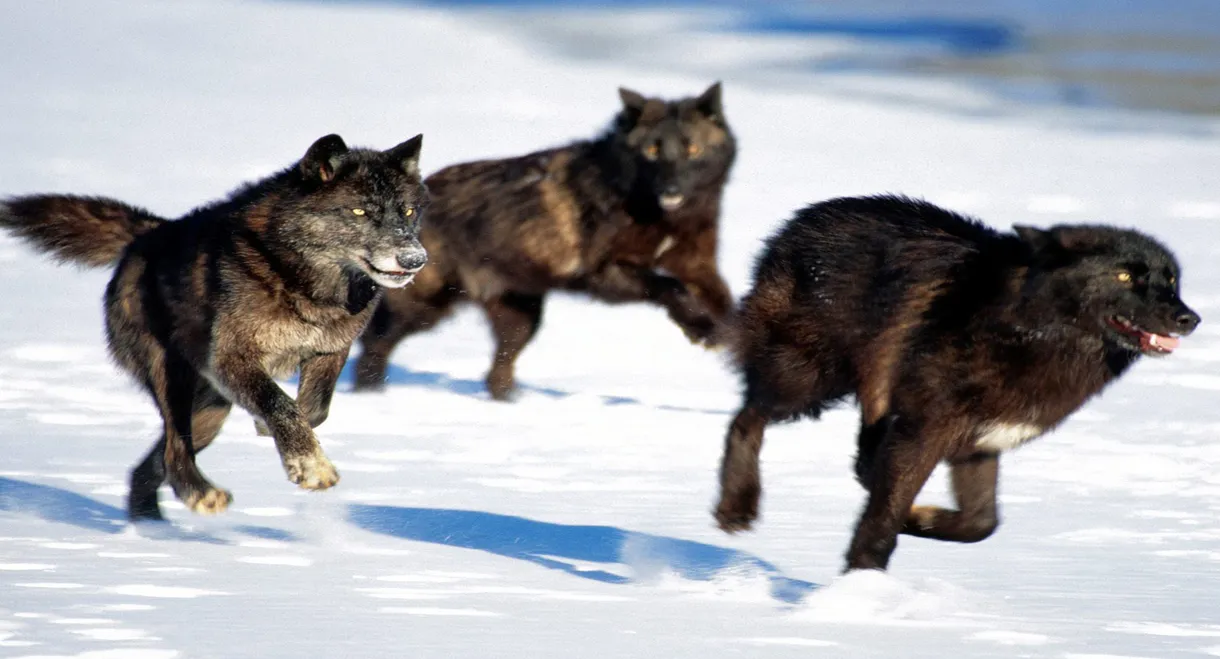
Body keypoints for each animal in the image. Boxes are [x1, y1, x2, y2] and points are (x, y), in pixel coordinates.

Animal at [0, 133, 429, 520]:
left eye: (408, 212)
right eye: (359, 212)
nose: (415, 259)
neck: (302, 281)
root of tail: (148, 234)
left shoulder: (329, 351)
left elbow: (312, 409)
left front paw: (277, 436)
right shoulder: (231, 359)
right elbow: (283, 405)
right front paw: (310, 466)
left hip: (211, 411)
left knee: (151, 464)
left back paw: (149, 528)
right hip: (173, 379)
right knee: (174, 449)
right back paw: (199, 496)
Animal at [354, 83, 736, 400]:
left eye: (693, 149)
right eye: (653, 150)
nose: (671, 190)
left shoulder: (699, 266)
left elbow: (724, 302)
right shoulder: (603, 274)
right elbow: (668, 286)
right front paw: (702, 330)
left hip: (522, 317)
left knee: (498, 372)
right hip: (425, 307)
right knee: (374, 344)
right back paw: (370, 396)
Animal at [713, 195, 1201, 572]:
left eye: (1172, 280)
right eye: (1124, 276)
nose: (1189, 318)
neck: (1027, 327)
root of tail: (799, 221)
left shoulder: (980, 443)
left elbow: (980, 524)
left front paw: (920, 519)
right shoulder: (924, 431)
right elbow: (885, 517)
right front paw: (863, 582)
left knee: (859, 460)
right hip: (808, 381)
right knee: (746, 418)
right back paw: (737, 506)